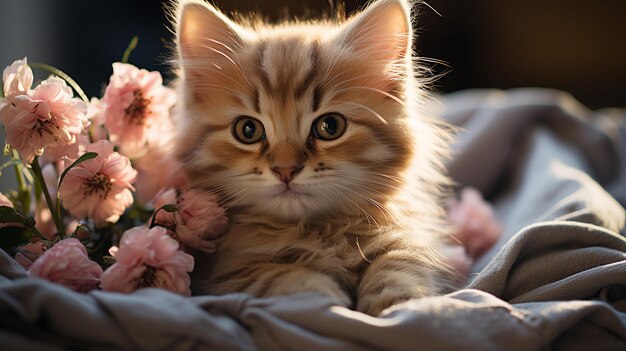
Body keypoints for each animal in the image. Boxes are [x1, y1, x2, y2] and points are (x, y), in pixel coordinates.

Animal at [171, 0, 454, 316]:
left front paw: (394, 307)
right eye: (247, 130)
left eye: (330, 126)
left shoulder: (405, 235)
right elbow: (284, 276)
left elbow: (399, 265)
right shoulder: (229, 270)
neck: (316, 231)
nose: (285, 170)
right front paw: (327, 301)